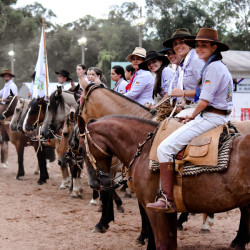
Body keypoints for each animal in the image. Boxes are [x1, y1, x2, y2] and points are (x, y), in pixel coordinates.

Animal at [77, 115, 250, 250]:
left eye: (81, 148)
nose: (94, 183)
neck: (145, 150)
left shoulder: (155, 210)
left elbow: (160, 242)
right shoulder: (167, 212)